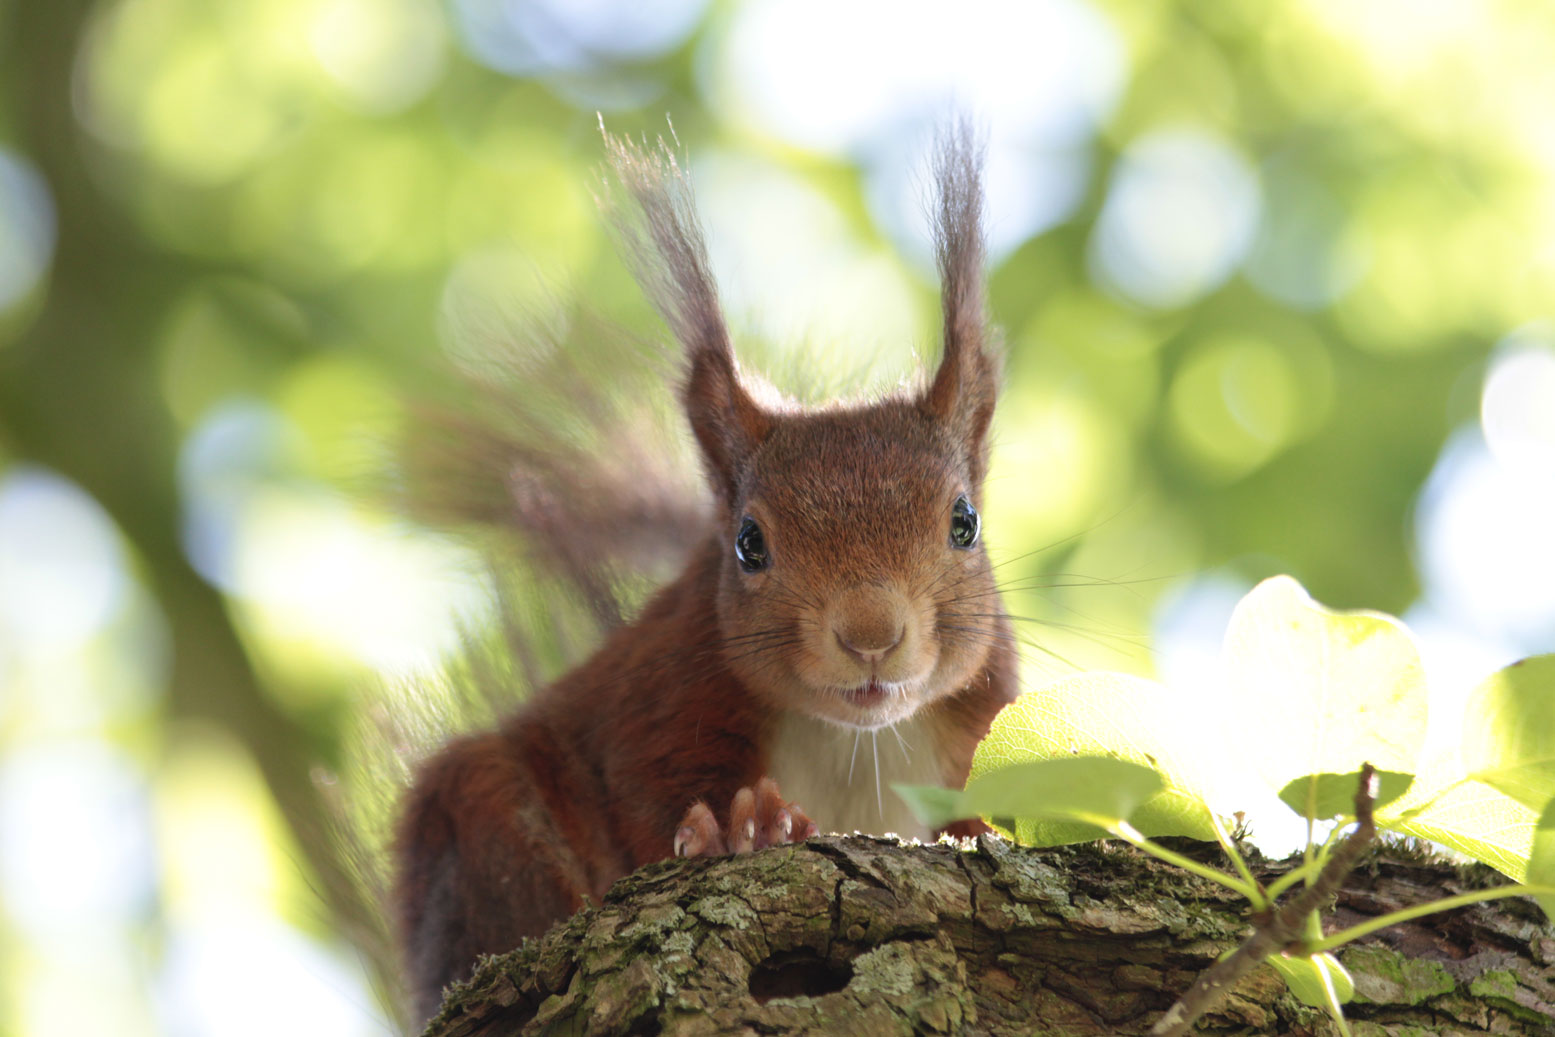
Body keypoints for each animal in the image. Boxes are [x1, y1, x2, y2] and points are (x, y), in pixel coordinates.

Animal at [391, 123, 1020, 1019]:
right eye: (748, 543)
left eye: (964, 523)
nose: (870, 634)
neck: (851, 740)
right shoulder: (668, 683)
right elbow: (649, 783)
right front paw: (739, 827)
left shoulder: (984, 711)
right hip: (476, 812)